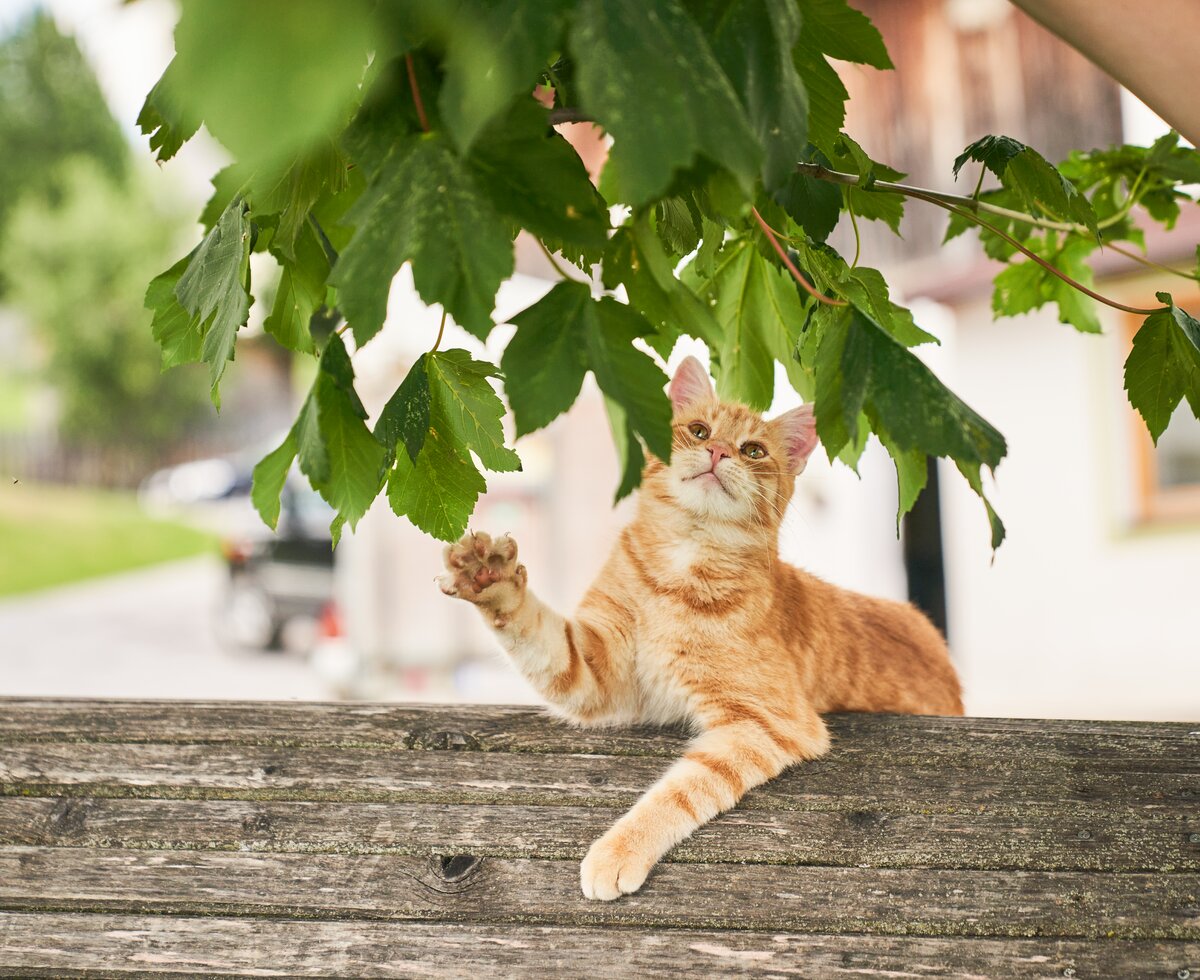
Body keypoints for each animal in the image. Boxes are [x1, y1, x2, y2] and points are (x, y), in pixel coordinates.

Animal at [441, 355, 964, 897]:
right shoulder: (597, 674)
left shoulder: (766, 722)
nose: (717, 450)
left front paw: (619, 850)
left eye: (753, 450)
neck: (679, 569)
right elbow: (533, 630)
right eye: (699, 431)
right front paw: (491, 580)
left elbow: (681, 790)